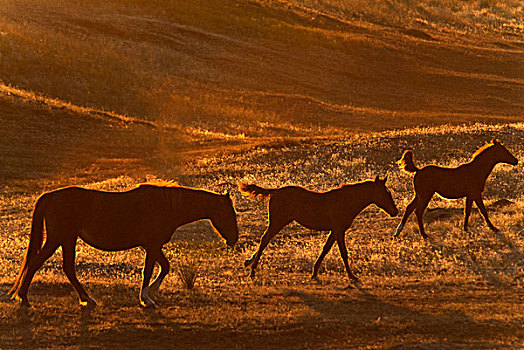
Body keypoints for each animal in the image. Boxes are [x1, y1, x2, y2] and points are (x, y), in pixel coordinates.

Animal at [6, 183, 239, 308]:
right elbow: (149, 270)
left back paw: (85, 299)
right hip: (58, 239)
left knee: (68, 269)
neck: (165, 206)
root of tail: (50, 196)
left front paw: (151, 292)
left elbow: (165, 267)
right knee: (36, 263)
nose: (234, 239)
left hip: (67, 240)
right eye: (230, 214)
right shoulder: (152, 245)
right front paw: (146, 298)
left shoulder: (154, 246)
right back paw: (23, 298)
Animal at [237, 176, 398, 284]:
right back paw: (252, 270)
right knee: (264, 239)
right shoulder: (339, 230)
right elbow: (343, 253)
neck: (346, 201)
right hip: (277, 222)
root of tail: (275, 191)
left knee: (265, 239)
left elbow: (325, 249)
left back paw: (249, 263)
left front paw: (314, 273)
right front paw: (352, 276)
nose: (395, 211)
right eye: (385, 193)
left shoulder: (335, 230)